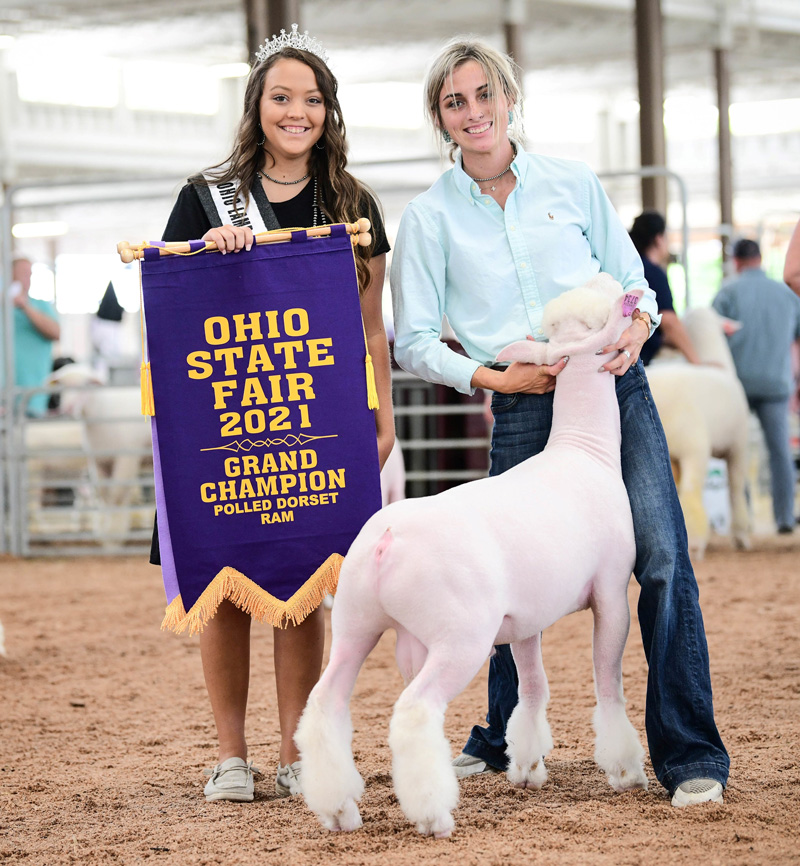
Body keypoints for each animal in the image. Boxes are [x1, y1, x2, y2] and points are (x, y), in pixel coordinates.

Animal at [296, 272, 648, 836]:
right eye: (601, 315)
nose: (611, 278)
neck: (583, 447)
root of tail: (387, 540)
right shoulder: (613, 591)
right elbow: (608, 682)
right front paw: (625, 769)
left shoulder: (524, 619)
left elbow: (533, 687)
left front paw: (527, 766)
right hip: (460, 636)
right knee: (414, 711)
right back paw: (433, 813)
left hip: (362, 623)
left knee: (326, 705)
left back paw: (339, 807)